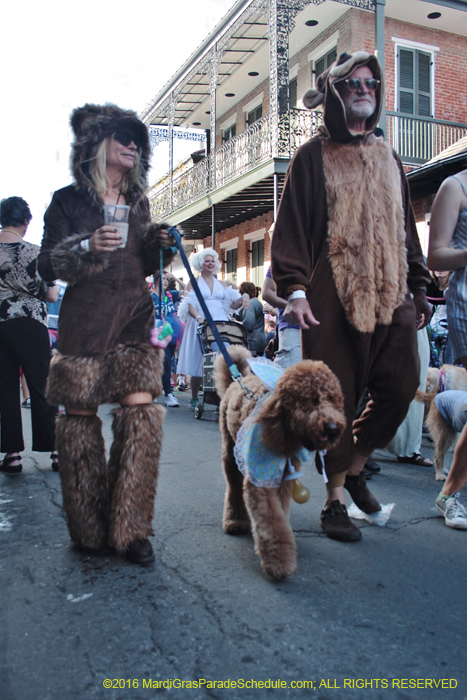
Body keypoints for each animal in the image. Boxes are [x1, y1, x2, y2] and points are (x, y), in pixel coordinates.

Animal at [214, 344, 346, 580]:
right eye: (311, 399)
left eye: (332, 398)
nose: (332, 428)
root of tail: (237, 380)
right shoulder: (260, 479)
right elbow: (271, 520)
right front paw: (278, 562)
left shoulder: (284, 477)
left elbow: (280, 511)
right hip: (230, 451)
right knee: (234, 486)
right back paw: (235, 520)